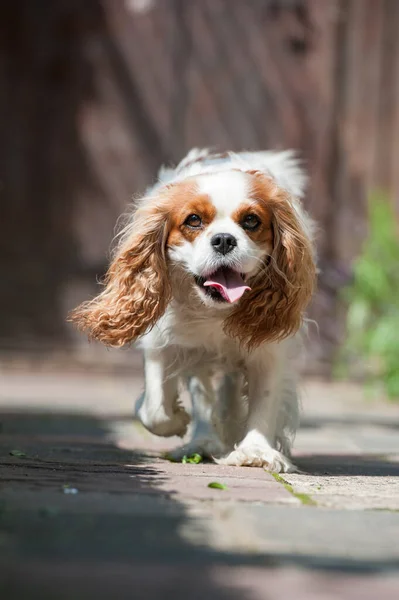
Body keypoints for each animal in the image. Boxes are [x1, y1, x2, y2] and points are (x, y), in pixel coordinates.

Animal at [71, 148, 316, 472]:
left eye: (251, 221)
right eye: (194, 220)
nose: (224, 239)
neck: (215, 311)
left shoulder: (269, 351)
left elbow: (265, 400)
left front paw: (255, 451)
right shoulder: (163, 343)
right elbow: (155, 409)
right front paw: (177, 421)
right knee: (204, 395)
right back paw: (203, 441)